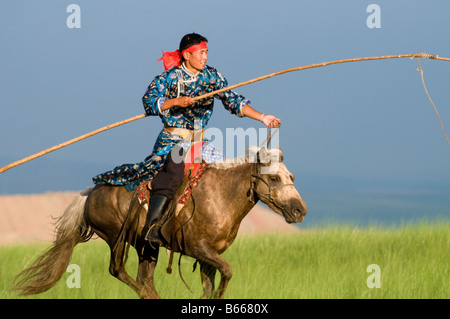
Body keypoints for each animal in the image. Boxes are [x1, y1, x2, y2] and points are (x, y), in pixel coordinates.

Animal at [14, 148, 310, 300]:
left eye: (291, 176)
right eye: (273, 179)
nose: (299, 210)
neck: (221, 195)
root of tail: (91, 193)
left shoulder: (207, 258)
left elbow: (210, 285)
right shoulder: (199, 249)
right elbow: (226, 272)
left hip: (146, 245)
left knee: (144, 278)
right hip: (116, 238)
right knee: (119, 271)